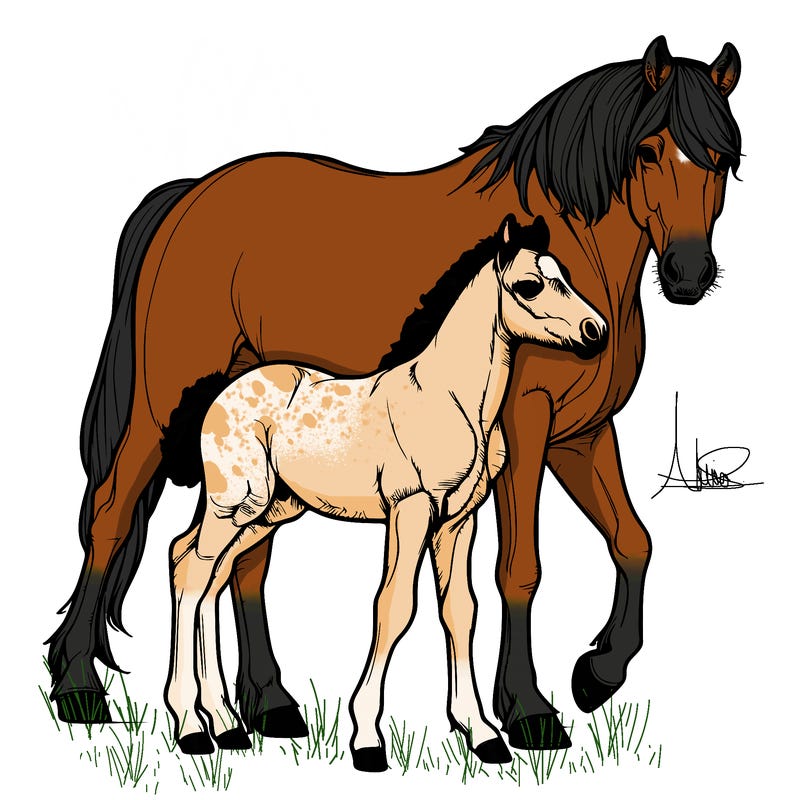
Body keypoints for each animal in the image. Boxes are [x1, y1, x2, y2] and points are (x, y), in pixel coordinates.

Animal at [163, 215, 607, 770]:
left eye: (564, 275)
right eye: (529, 285)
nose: (596, 332)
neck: (453, 399)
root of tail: (221, 394)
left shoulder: (458, 520)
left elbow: (460, 611)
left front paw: (481, 733)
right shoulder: (409, 511)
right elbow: (394, 608)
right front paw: (367, 738)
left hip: (267, 512)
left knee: (209, 576)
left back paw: (225, 724)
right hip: (234, 503)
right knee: (190, 570)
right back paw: (190, 727)